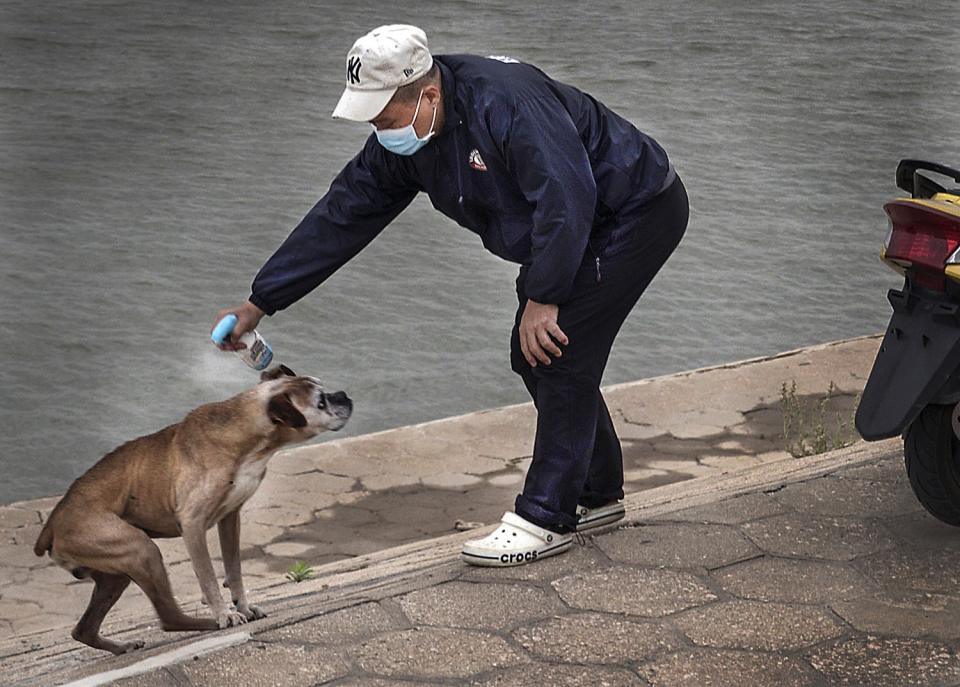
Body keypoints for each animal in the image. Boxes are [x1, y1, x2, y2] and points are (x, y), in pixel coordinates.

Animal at [32, 366, 352, 656]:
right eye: (320, 402)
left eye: (323, 388)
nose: (344, 395)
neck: (244, 434)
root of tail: (52, 524)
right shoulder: (193, 525)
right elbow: (208, 577)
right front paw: (225, 614)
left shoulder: (230, 518)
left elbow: (234, 569)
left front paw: (243, 606)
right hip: (141, 550)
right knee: (168, 617)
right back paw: (207, 624)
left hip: (115, 574)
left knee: (84, 629)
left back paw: (121, 646)